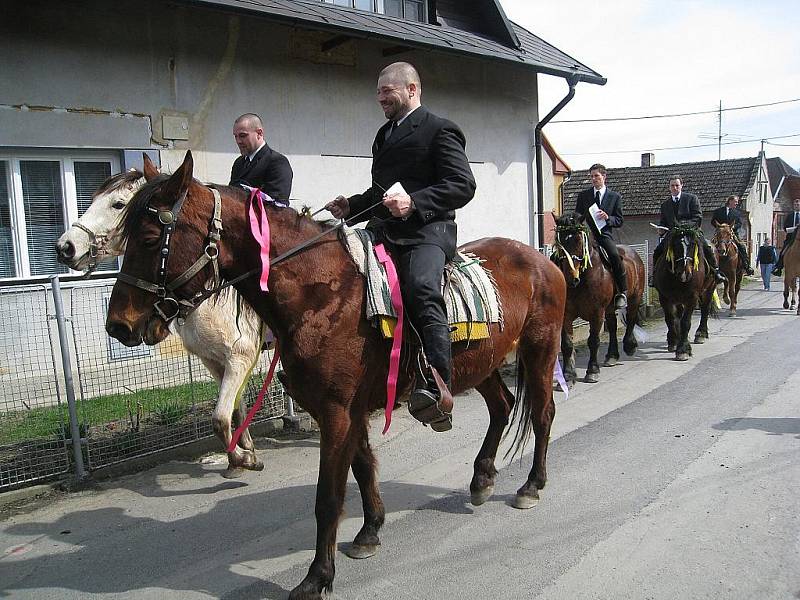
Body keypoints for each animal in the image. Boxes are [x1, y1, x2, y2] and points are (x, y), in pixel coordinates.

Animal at [57, 170, 268, 478]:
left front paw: (242, 457)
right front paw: (241, 458)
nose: (65, 247)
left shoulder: (240, 357)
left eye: (118, 204)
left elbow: (220, 415)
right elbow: (234, 409)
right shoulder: (213, 360)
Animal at [106, 151, 564, 600]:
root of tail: (541, 259)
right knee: (502, 406)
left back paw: (531, 486)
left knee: (542, 414)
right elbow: (361, 467)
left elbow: (328, 495)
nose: (118, 326)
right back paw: (482, 477)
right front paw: (369, 532)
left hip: (539, 351)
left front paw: (317, 577)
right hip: (479, 364)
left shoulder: (336, 411)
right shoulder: (348, 409)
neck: (321, 294)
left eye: (150, 239)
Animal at [552, 216, 648, 384]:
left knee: (630, 319)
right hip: (609, 308)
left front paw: (592, 371)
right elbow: (567, 344)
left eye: (579, 240)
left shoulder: (596, 313)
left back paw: (629, 346)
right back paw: (612, 356)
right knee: (613, 326)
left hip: (634, 298)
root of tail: (633, 252)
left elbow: (593, 341)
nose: (570, 278)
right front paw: (568, 376)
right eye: (559, 242)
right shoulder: (566, 313)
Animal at [652, 221, 716, 358]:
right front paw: (673, 341)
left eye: (692, 245)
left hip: (709, 289)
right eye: (676, 245)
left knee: (705, 309)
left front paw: (683, 349)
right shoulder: (664, 297)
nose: (685, 273)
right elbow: (670, 319)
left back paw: (701, 334)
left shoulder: (692, 297)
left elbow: (685, 322)